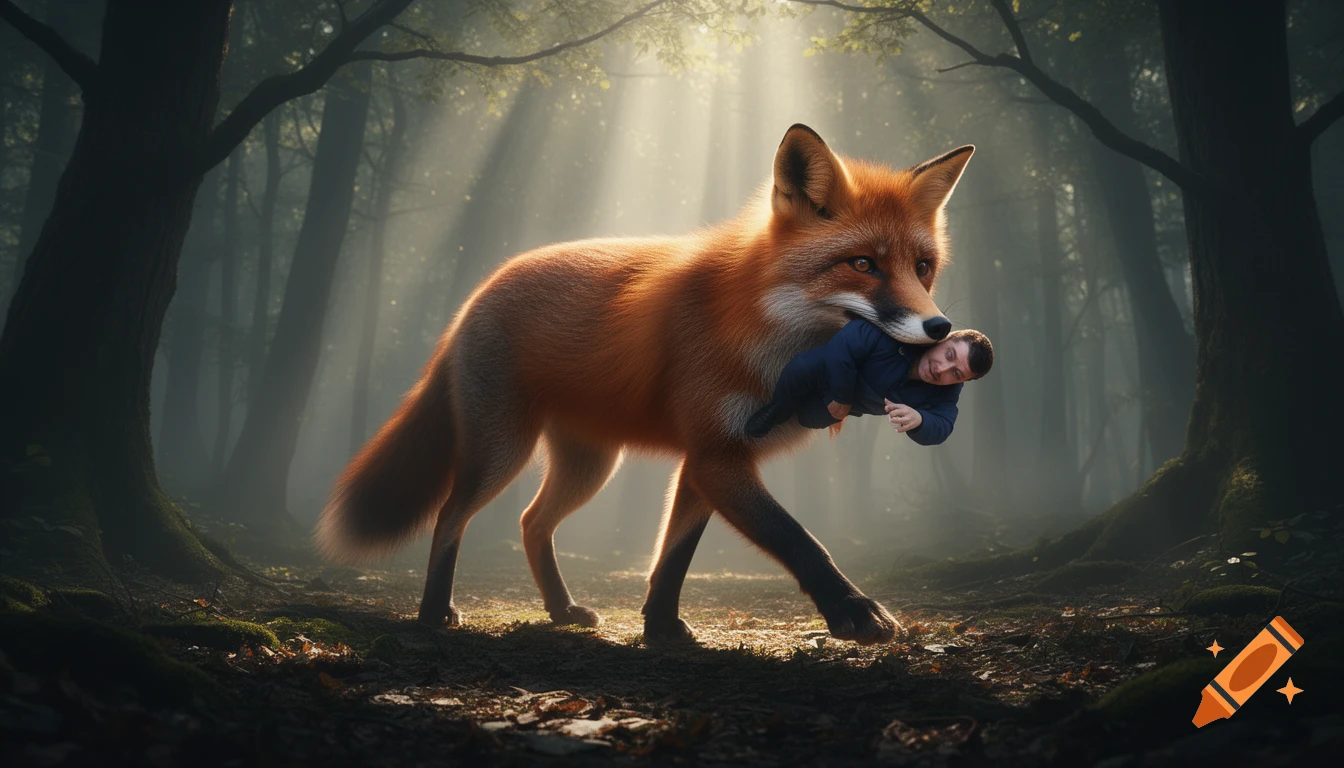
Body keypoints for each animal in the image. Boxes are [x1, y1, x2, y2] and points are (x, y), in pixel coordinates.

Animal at [317, 124, 974, 645]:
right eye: (862, 265)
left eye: (922, 267)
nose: (940, 327)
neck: (761, 327)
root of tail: (478, 294)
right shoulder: (715, 456)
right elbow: (799, 540)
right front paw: (854, 612)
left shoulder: (708, 459)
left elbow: (671, 558)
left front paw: (660, 628)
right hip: (502, 451)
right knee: (450, 516)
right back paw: (434, 613)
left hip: (589, 465)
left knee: (531, 522)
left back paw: (560, 610)